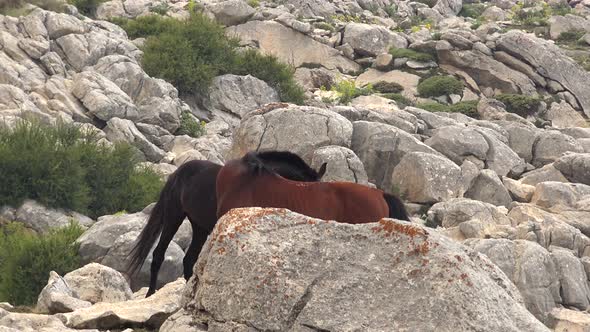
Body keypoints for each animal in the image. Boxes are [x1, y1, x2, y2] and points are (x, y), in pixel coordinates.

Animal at [127, 150, 328, 296]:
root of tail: (176, 173)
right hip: (173, 217)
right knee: (159, 254)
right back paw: (150, 293)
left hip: (199, 227)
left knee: (188, 259)